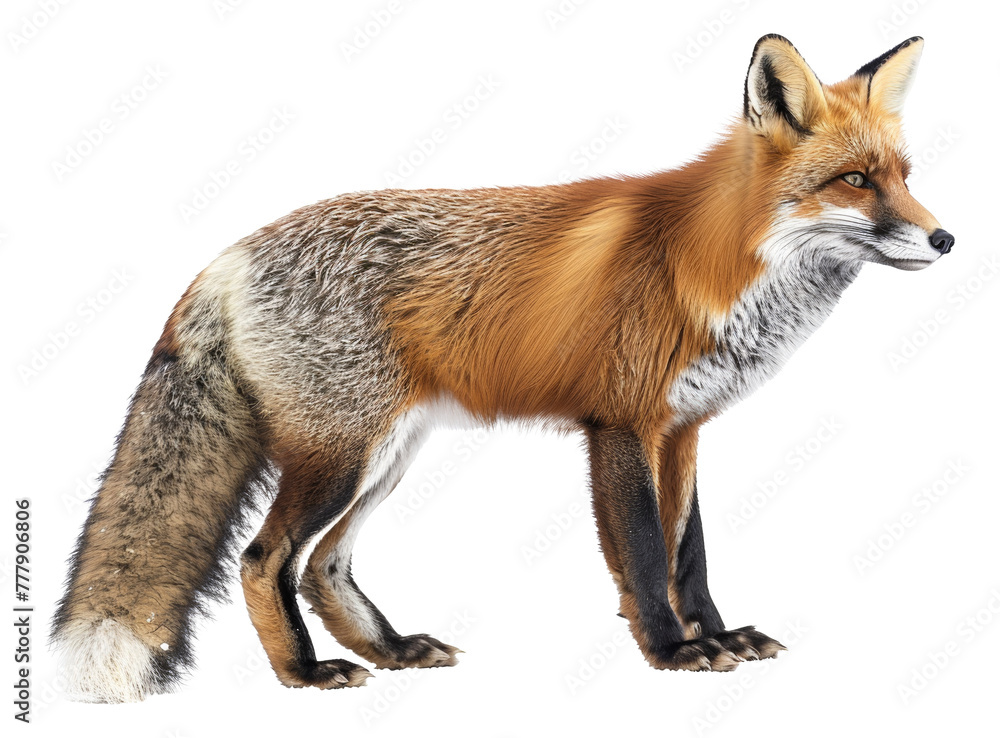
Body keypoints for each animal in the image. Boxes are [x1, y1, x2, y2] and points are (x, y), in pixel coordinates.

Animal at [53, 34, 954, 702]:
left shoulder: (685, 429)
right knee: (264, 559)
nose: (945, 238)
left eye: (905, 177)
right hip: (342, 458)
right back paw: (304, 672)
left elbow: (689, 555)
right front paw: (672, 653)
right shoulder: (620, 424)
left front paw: (717, 633)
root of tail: (229, 256)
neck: (711, 266)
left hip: (386, 457)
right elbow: (645, 554)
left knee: (323, 565)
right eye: (854, 180)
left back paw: (391, 650)